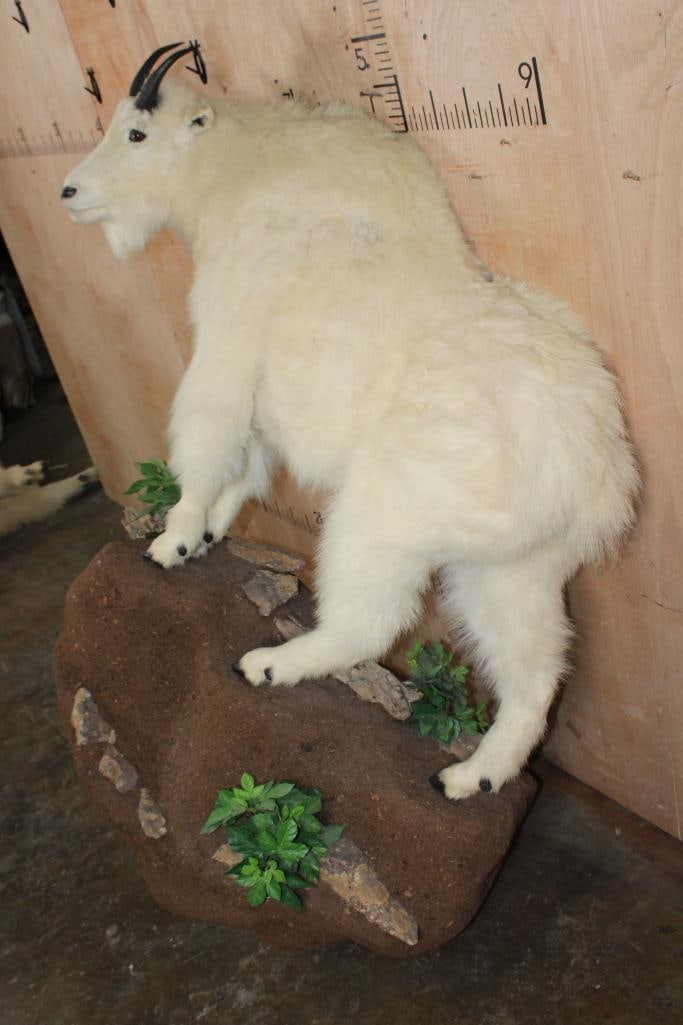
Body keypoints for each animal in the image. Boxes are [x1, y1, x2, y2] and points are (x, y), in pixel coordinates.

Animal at [62, 44, 639, 800]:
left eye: (135, 132)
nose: (69, 192)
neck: (234, 169)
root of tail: (595, 471)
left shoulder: (228, 333)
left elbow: (208, 431)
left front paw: (176, 539)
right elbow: (247, 463)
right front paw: (211, 531)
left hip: (383, 518)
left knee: (369, 624)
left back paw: (271, 664)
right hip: (514, 567)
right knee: (536, 672)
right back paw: (472, 777)